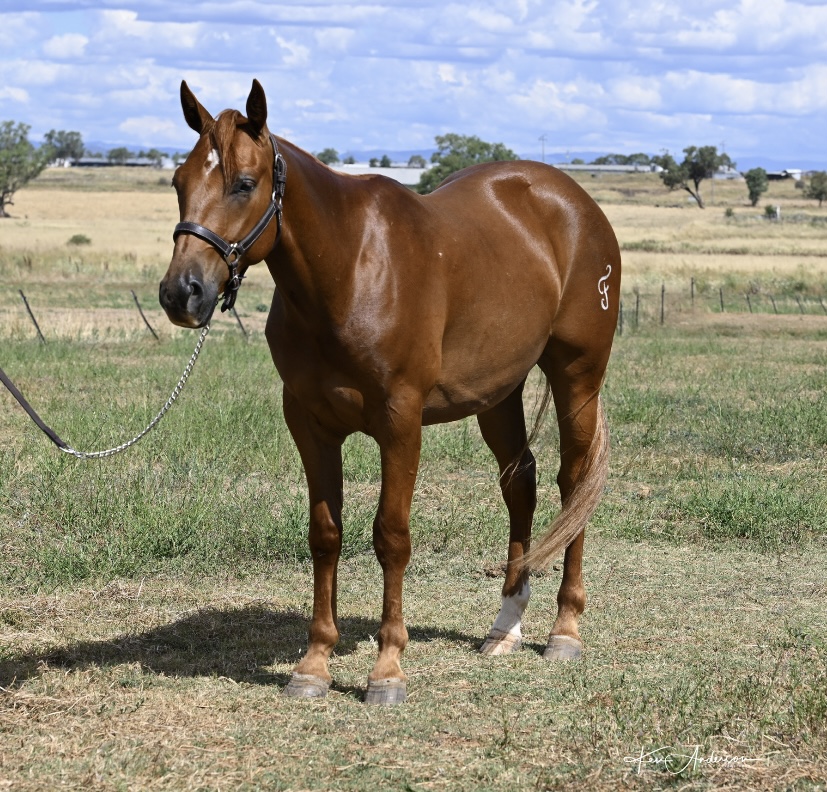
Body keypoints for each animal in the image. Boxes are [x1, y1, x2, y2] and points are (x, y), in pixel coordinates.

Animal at [160, 79, 621, 705]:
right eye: (179, 182)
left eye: (244, 183)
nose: (181, 293)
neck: (349, 268)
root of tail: (576, 204)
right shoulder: (310, 424)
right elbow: (325, 535)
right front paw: (314, 663)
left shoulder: (399, 423)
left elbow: (391, 537)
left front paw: (387, 668)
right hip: (499, 391)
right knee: (519, 483)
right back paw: (505, 625)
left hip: (577, 376)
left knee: (572, 484)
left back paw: (565, 630)